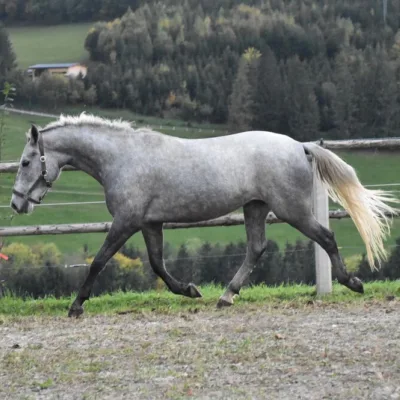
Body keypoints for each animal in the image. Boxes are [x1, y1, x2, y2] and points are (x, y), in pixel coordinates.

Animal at [9, 114, 396, 318]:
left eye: (26, 162)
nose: (15, 204)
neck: (122, 158)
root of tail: (300, 146)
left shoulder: (126, 222)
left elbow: (99, 261)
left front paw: (76, 305)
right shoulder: (149, 223)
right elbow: (157, 264)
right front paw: (190, 290)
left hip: (292, 209)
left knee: (325, 237)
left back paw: (353, 282)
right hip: (256, 207)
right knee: (256, 248)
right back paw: (226, 296)